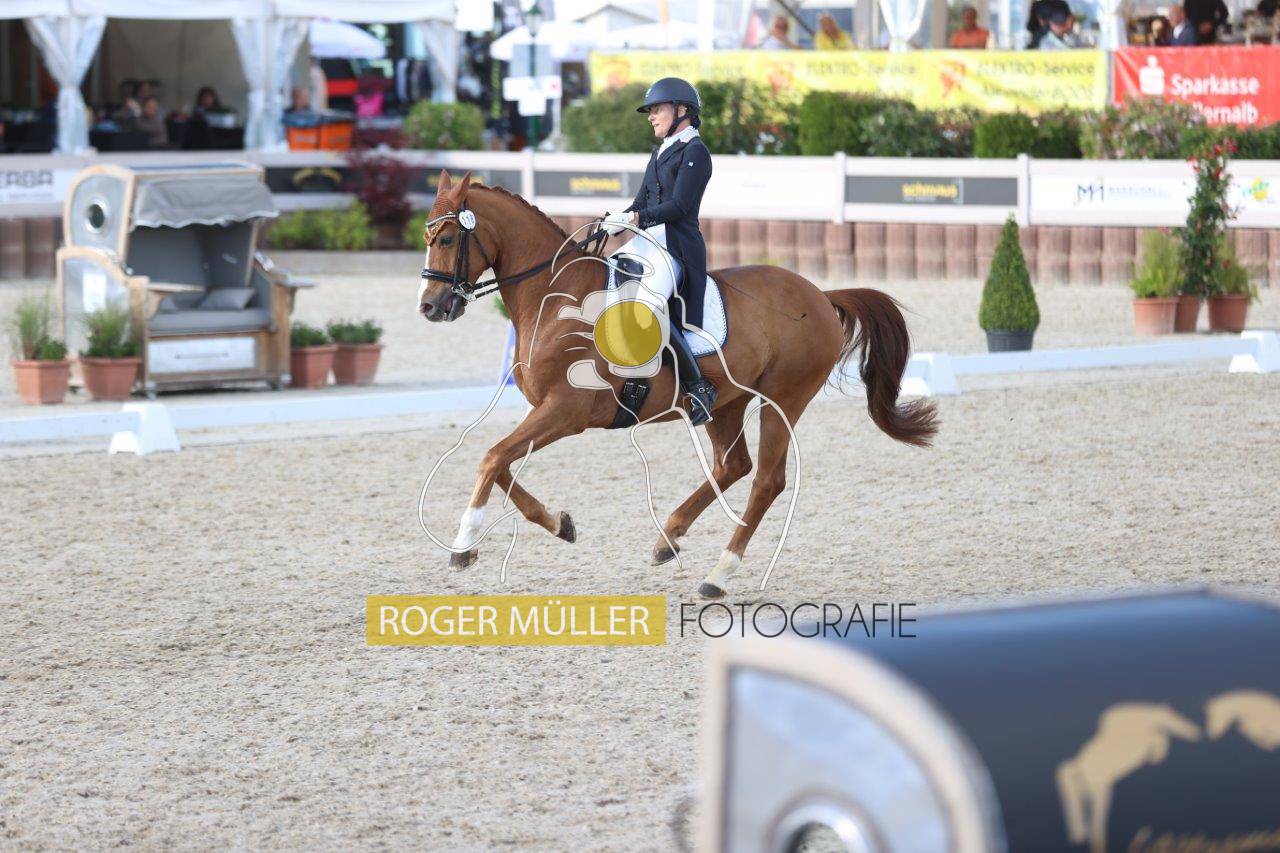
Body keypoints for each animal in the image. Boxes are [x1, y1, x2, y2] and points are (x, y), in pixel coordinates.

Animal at [416, 170, 937, 598]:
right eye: (427, 236)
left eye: (447, 238)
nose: (430, 306)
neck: (554, 296)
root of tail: (821, 295)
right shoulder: (542, 408)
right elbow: (500, 461)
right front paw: (559, 524)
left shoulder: (567, 411)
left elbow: (492, 458)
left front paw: (462, 545)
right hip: (726, 402)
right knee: (734, 465)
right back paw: (668, 538)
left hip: (784, 400)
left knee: (766, 480)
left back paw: (718, 575)